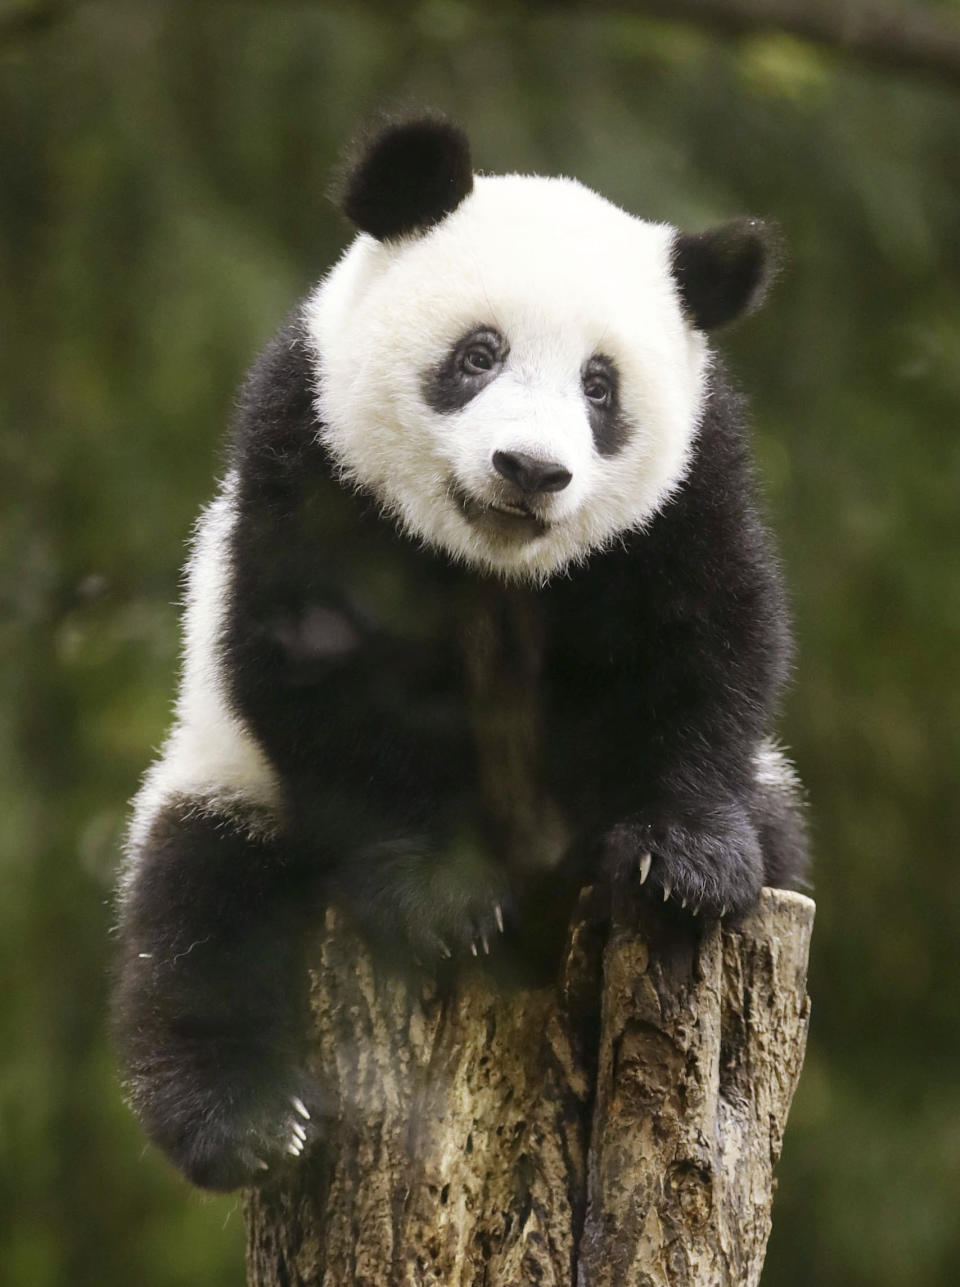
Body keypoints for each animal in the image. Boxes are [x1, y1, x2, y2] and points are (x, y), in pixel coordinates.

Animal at [113, 115, 808, 1189]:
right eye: (480, 353)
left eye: (600, 385)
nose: (531, 469)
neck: (496, 567)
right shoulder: (309, 451)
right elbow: (315, 669)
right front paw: (440, 892)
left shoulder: (691, 493)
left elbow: (711, 641)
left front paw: (682, 860)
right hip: (232, 781)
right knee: (200, 913)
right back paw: (248, 1122)